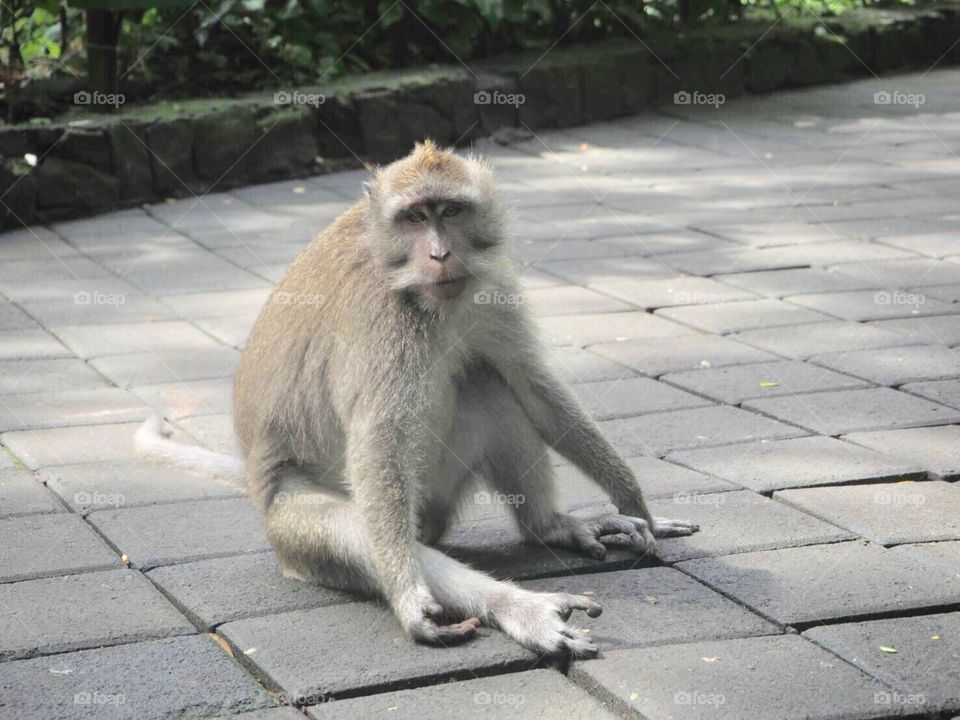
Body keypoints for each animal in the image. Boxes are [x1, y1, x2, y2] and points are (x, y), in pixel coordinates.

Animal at [137, 140, 698, 658]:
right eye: (413, 217)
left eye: (449, 212)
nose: (440, 253)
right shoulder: (381, 318)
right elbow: (378, 438)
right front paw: (410, 595)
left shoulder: (491, 288)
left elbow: (530, 382)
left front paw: (636, 505)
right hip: (292, 530)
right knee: (360, 529)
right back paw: (516, 607)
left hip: (436, 493)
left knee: (485, 382)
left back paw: (548, 527)